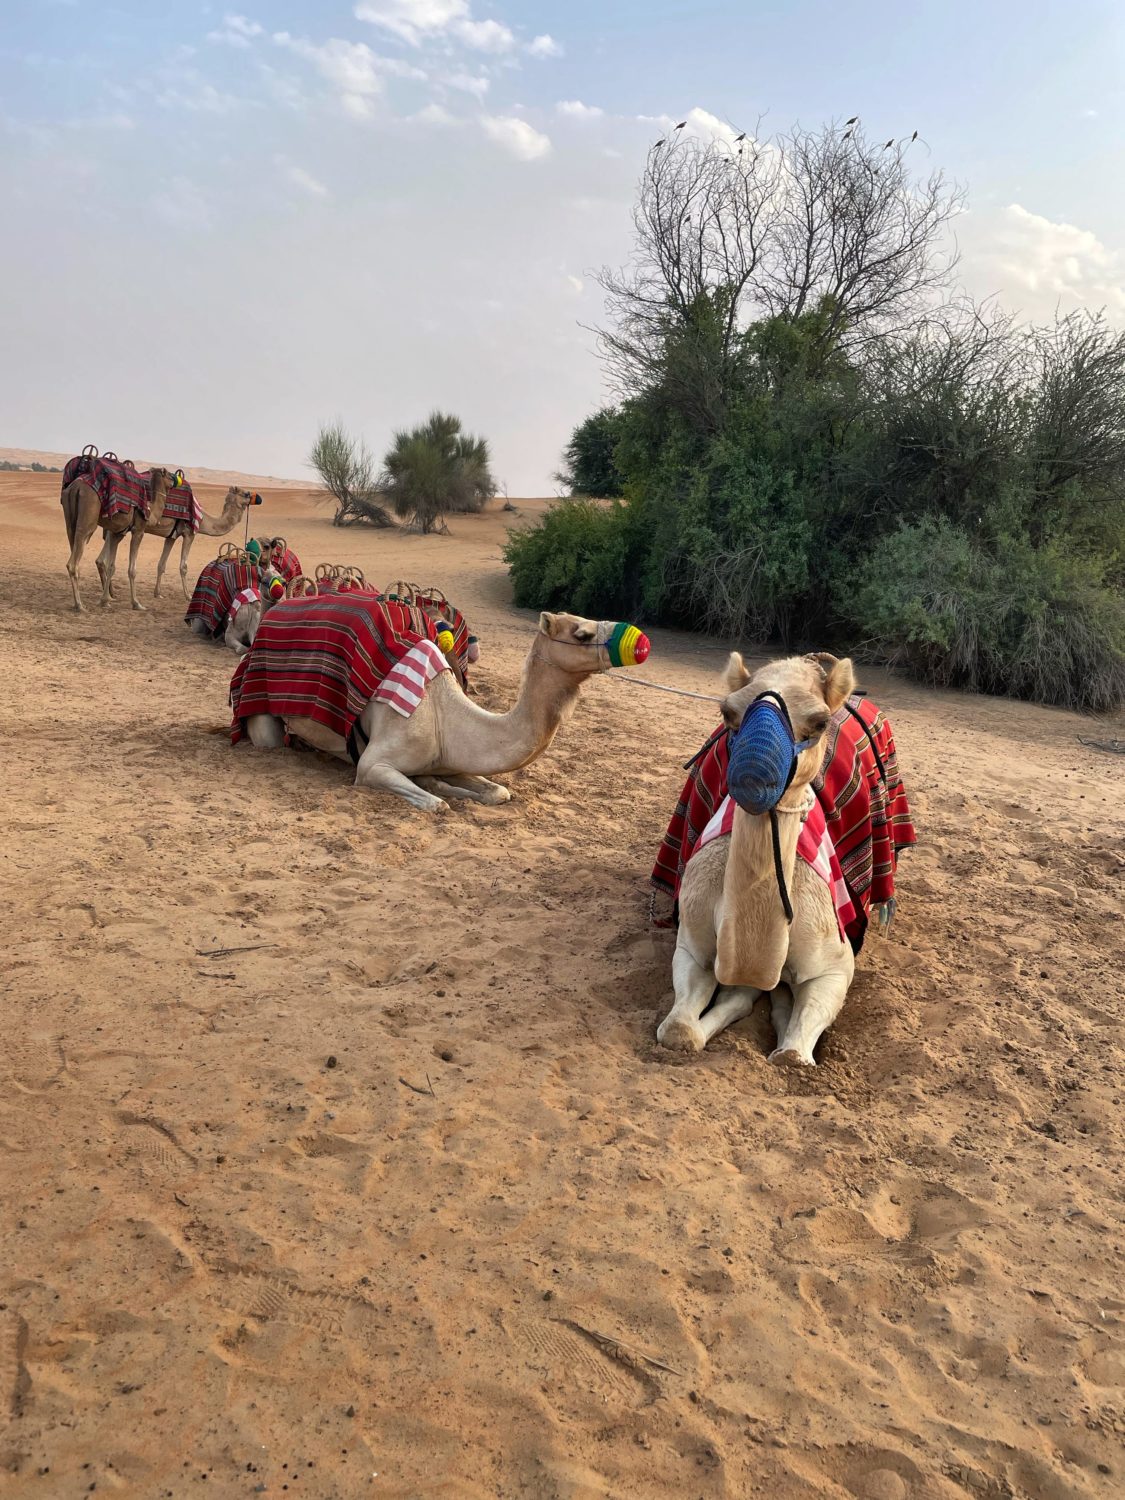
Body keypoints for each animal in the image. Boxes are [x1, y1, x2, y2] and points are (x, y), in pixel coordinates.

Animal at [62, 465, 177, 612]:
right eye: (168, 475)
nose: (175, 481)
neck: (150, 510)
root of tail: (76, 488)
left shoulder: (117, 533)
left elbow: (111, 566)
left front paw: (105, 600)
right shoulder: (139, 530)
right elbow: (132, 570)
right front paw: (136, 603)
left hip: (70, 521)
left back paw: (77, 603)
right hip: (87, 522)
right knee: (73, 563)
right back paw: (80, 605)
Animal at [241, 610, 650, 811]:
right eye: (581, 633)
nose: (642, 641)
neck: (445, 718)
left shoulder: (453, 759)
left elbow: (498, 792)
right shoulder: (372, 765)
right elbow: (436, 803)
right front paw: (439, 792)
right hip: (260, 710)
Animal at [656, 651, 858, 1066]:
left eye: (820, 722)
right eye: (727, 712)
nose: (753, 770)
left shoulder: (835, 966)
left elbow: (793, 1055)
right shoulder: (692, 944)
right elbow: (679, 1030)